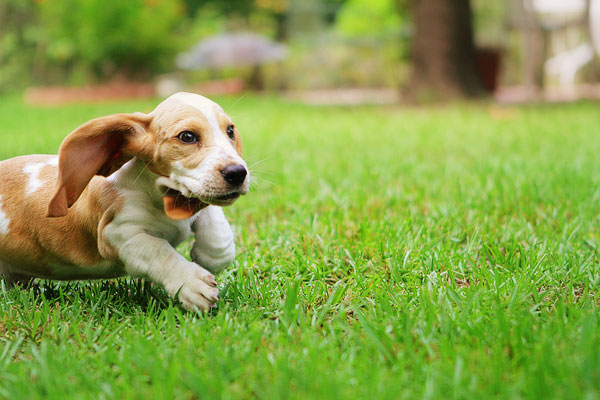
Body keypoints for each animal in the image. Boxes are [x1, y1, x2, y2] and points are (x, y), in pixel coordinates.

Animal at [0, 92, 248, 310]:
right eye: (187, 136)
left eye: (230, 131)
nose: (237, 173)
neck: (160, 196)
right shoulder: (118, 235)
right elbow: (159, 251)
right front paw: (192, 283)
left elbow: (216, 229)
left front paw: (210, 256)